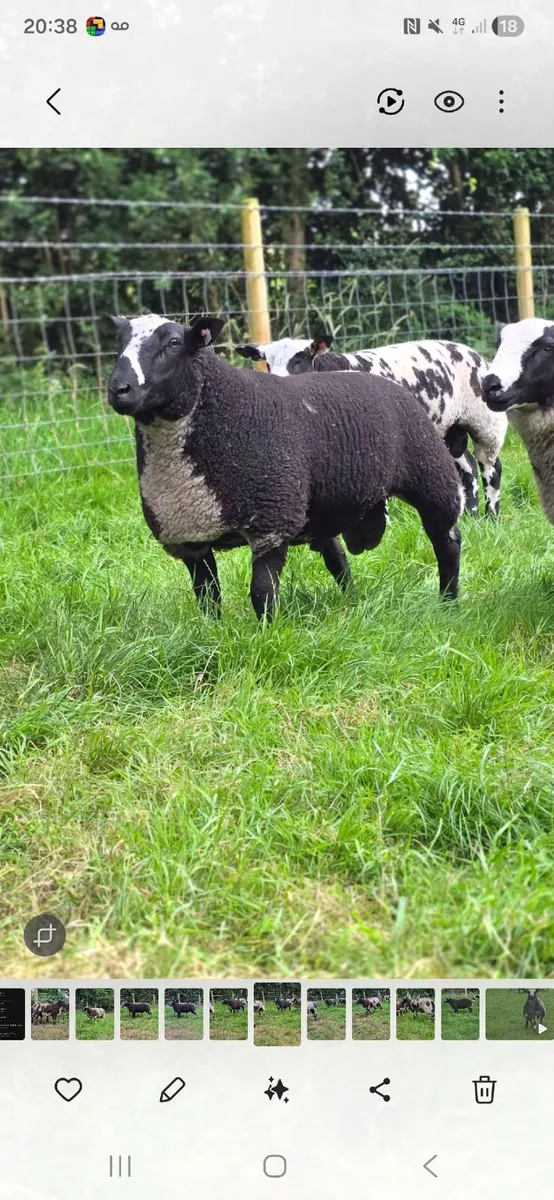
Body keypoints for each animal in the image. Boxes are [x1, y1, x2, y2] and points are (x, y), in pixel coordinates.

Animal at [107, 314, 465, 621]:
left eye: (173, 343)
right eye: (119, 342)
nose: (118, 389)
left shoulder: (272, 522)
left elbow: (262, 594)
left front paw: (267, 635)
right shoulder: (191, 539)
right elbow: (207, 599)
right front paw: (213, 634)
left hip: (432, 476)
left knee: (447, 541)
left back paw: (448, 602)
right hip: (319, 509)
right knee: (337, 557)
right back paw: (352, 600)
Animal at [236, 334, 507, 518]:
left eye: (302, 357)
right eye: (266, 363)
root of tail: (470, 352)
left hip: (486, 422)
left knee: (491, 468)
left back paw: (491, 517)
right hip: (449, 428)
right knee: (468, 468)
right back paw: (470, 516)